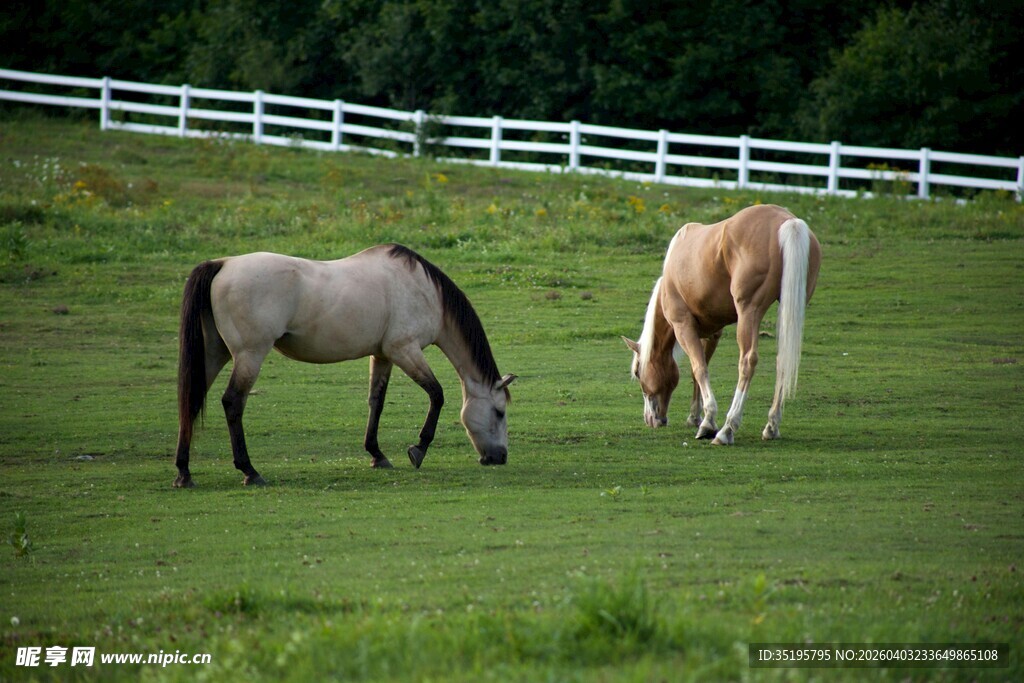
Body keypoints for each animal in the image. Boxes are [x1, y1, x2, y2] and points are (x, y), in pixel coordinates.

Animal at [174, 243, 516, 487]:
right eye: (499, 412)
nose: (500, 457)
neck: (424, 290)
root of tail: (222, 264)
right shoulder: (404, 350)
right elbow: (437, 394)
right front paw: (418, 449)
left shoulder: (383, 355)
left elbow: (376, 401)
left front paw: (377, 455)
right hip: (249, 355)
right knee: (232, 402)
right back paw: (249, 471)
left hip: (215, 353)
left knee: (191, 401)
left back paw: (184, 473)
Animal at [623, 204, 821, 445]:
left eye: (637, 372)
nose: (651, 419)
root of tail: (788, 221)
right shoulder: (712, 332)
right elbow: (698, 370)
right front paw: (694, 417)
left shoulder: (683, 326)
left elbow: (699, 369)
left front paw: (708, 423)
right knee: (783, 360)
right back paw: (771, 426)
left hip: (749, 312)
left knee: (747, 362)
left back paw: (727, 429)